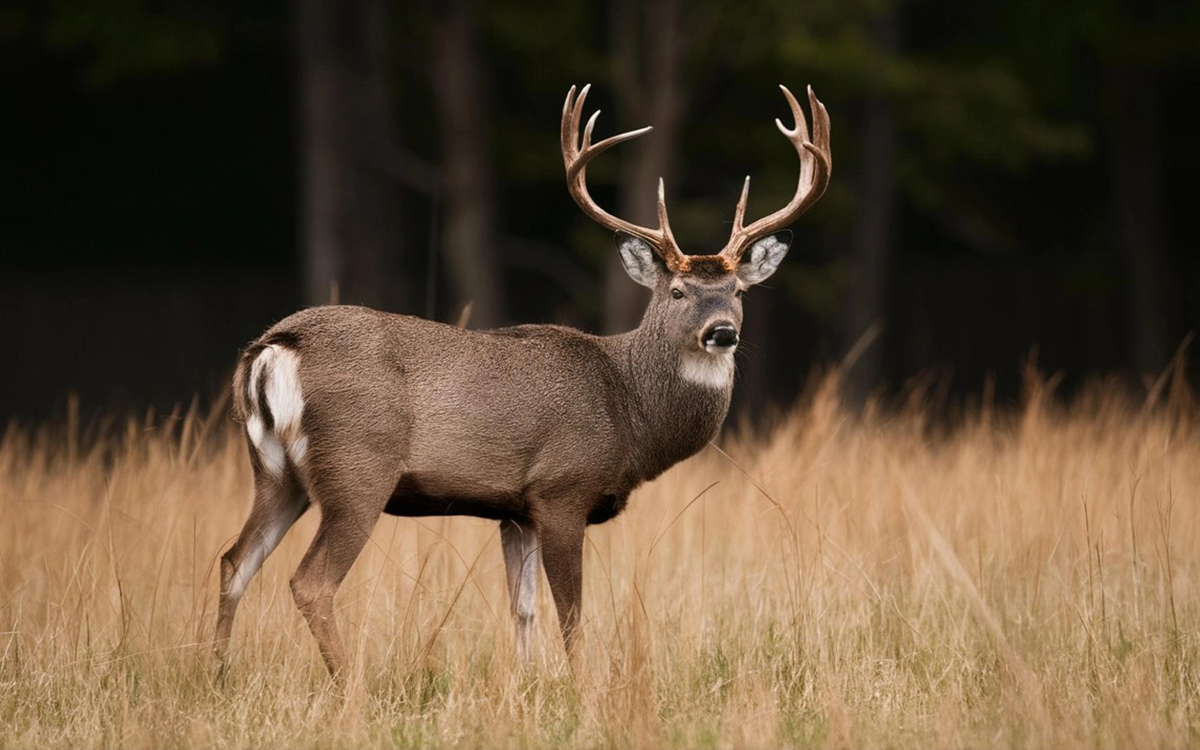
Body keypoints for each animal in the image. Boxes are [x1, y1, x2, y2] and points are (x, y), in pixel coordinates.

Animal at [214, 83, 831, 679]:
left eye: (739, 292)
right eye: (677, 292)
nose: (722, 331)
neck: (630, 408)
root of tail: (275, 347)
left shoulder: (515, 508)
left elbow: (523, 607)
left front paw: (528, 684)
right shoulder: (562, 488)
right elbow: (571, 612)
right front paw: (582, 688)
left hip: (276, 472)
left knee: (233, 561)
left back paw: (215, 672)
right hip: (357, 466)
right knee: (310, 581)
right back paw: (348, 685)